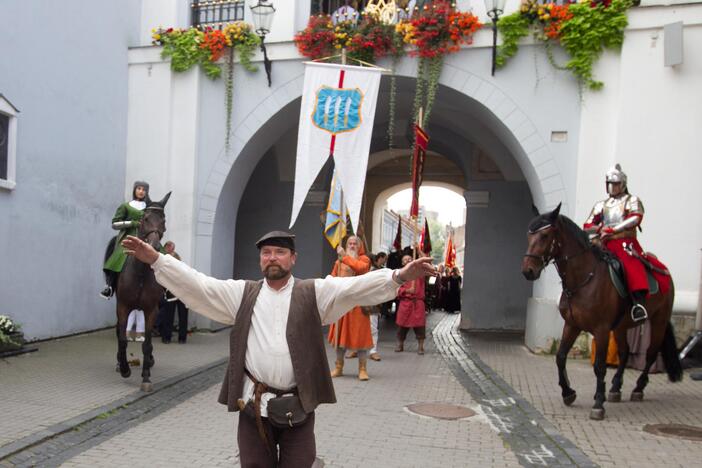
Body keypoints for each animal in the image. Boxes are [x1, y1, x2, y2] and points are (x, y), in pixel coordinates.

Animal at [115, 191, 172, 392]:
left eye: (163, 220)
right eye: (145, 218)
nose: (153, 247)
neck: (140, 272)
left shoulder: (151, 309)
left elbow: (147, 343)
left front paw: (146, 377)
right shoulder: (123, 306)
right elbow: (122, 339)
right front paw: (125, 368)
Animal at [524, 205, 680, 420]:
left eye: (545, 235)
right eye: (529, 236)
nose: (528, 271)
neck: (583, 279)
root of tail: (664, 270)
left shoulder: (601, 330)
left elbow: (599, 366)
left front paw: (598, 403)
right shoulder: (572, 325)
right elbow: (561, 356)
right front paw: (568, 392)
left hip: (658, 320)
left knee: (650, 354)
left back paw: (638, 388)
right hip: (622, 326)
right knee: (624, 352)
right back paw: (615, 388)